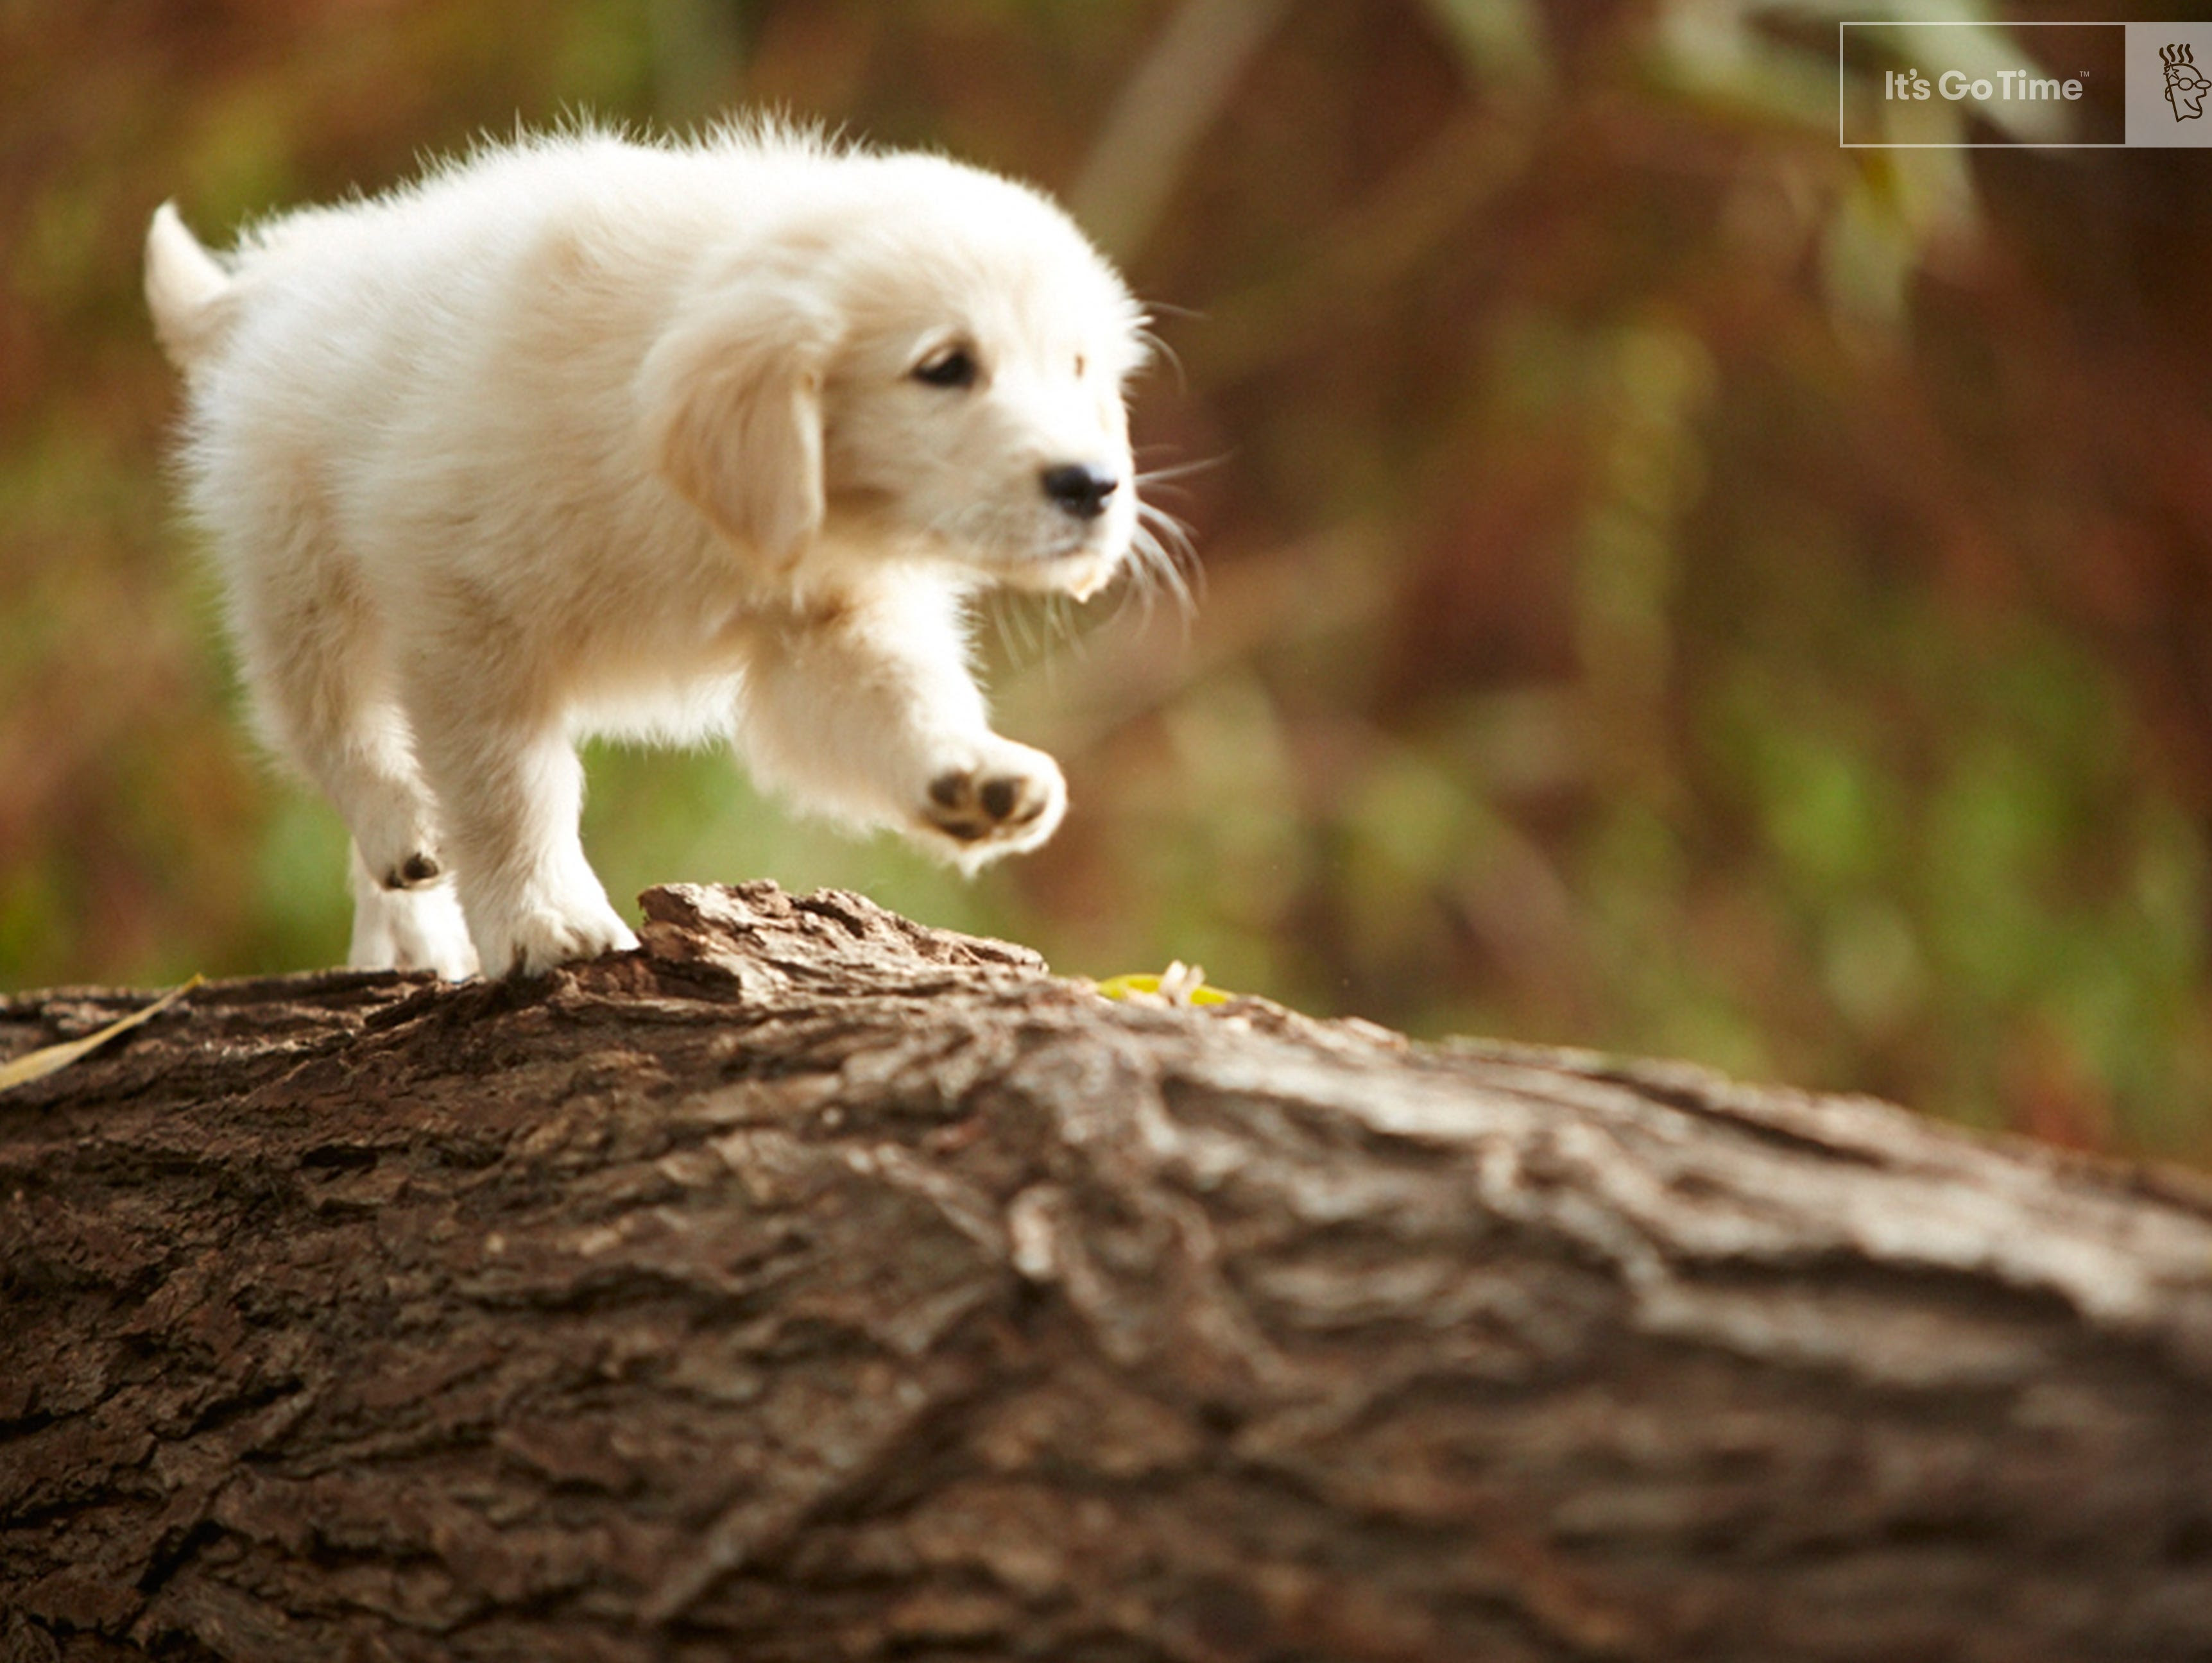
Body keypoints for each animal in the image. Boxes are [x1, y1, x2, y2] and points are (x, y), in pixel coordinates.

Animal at [147, 126, 1168, 973]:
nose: (1094, 487)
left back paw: (410, 946)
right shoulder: (467, 610)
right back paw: (403, 830)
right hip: (299, 572)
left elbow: (890, 699)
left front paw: (971, 773)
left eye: (1077, 368)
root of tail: (281, 274)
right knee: (332, 729)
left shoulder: (826, 623)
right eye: (944, 368)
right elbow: (505, 786)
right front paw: (542, 920)